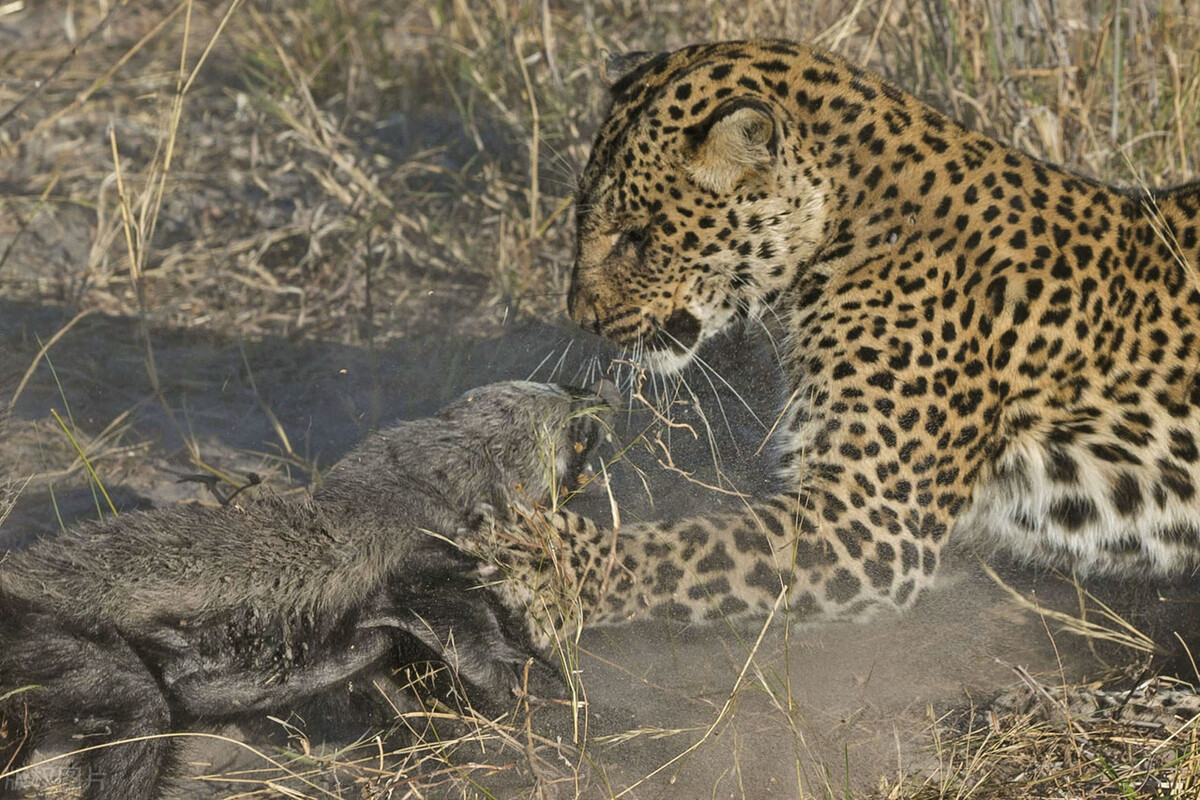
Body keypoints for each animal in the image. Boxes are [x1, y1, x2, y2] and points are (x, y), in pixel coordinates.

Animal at [482, 38, 1200, 638]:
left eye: (636, 235)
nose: (581, 316)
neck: (845, 227)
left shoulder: (868, 519)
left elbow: (690, 547)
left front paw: (549, 567)